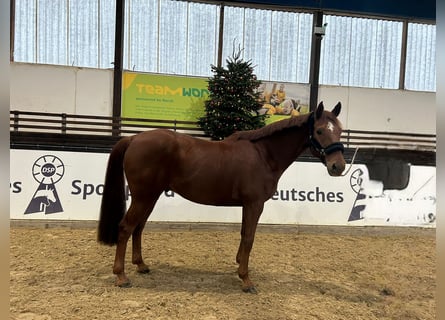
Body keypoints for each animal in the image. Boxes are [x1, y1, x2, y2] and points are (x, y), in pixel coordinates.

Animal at [99, 101, 346, 294]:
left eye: (340, 130)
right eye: (320, 131)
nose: (338, 166)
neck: (264, 155)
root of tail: (134, 138)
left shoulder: (248, 205)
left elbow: (243, 234)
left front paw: (239, 266)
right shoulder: (254, 204)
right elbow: (249, 238)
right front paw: (246, 280)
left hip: (150, 197)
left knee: (138, 228)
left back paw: (141, 265)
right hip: (143, 197)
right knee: (126, 227)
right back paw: (121, 276)